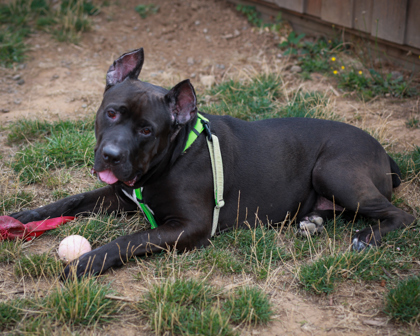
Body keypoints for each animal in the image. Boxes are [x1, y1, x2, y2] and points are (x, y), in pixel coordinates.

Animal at [9, 48, 414, 278]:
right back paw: (313, 221)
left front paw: (84, 263)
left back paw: (366, 239)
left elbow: (128, 240)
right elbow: (71, 200)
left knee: (401, 216)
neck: (171, 158)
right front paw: (24, 218)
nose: (110, 155)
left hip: (333, 171)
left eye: (146, 129)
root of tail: (384, 152)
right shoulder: (119, 196)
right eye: (111, 113)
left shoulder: (189, 227)